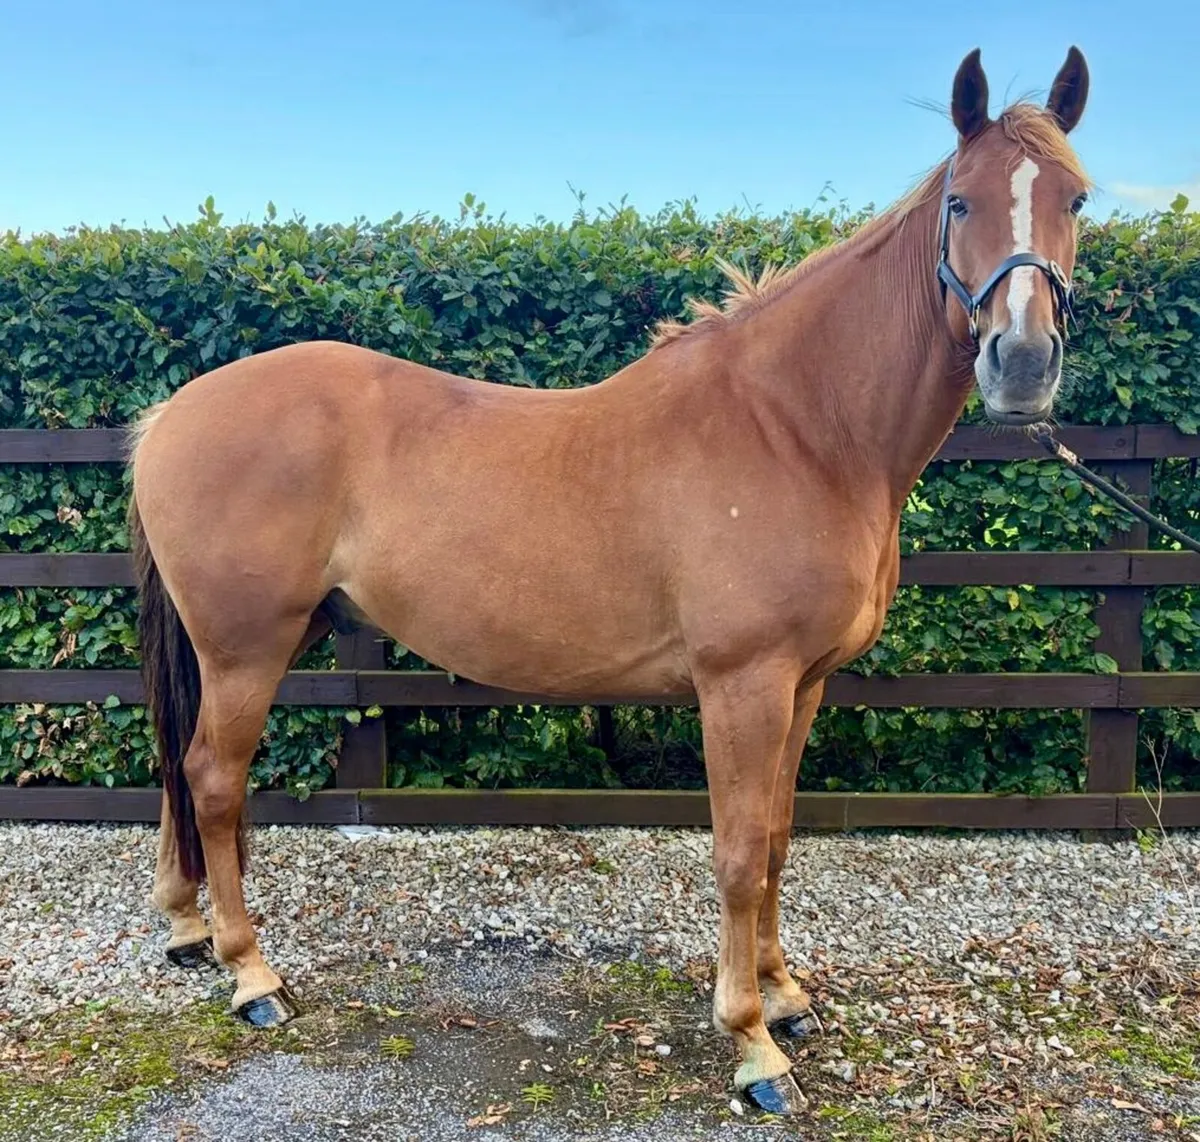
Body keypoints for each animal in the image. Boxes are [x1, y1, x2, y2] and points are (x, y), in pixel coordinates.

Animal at [125, 46, 1092, 1115]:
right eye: (960, 203)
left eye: (1077, 200)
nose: (1023, 364)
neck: (800, 428)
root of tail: (169, 416)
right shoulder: (742, 686)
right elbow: (738, 855)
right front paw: (754, 1046)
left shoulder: (803, 686)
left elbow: (780, 839)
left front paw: (786, 995)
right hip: (247, 647)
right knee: (214, 780)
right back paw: (251, 976)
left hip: (259, 640)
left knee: (181, 768)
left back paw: (188, 932)